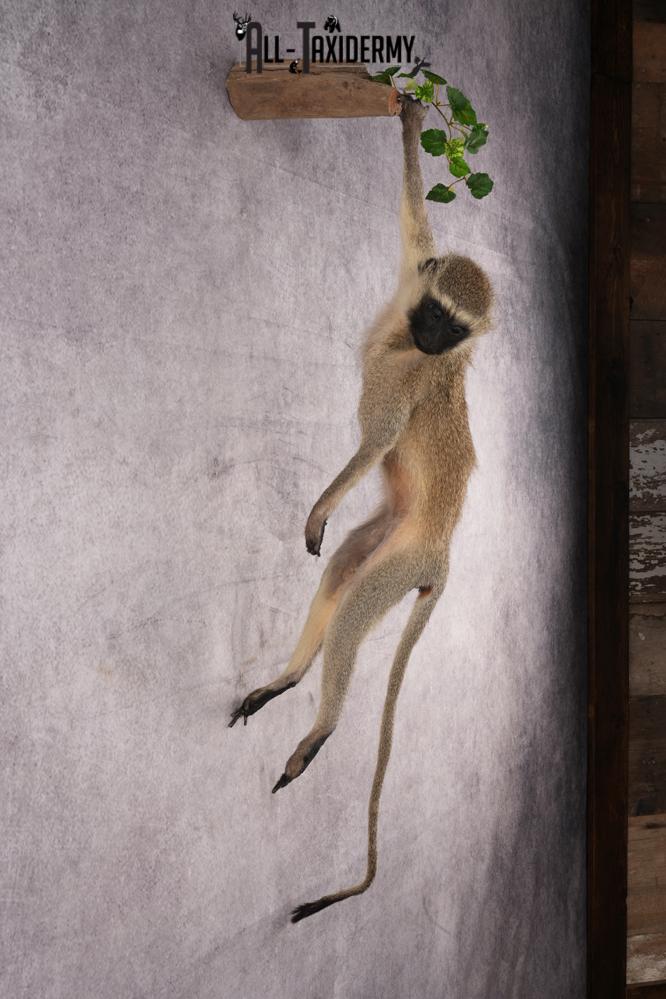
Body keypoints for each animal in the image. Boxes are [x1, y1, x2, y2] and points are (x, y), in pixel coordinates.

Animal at [229, 96, 494, 922]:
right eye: (437, 311)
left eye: (453, 328)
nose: (432, 336)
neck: (406, 340)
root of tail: (440, 547)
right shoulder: (414, 274)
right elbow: (414, 213)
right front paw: (408, 115)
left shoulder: (405, 383)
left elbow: (374, 445)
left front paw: (320, 499)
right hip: (389, 538)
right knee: (343, 570)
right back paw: (289, 679)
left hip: (401, 562)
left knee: (352, 607)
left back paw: (323, 728)